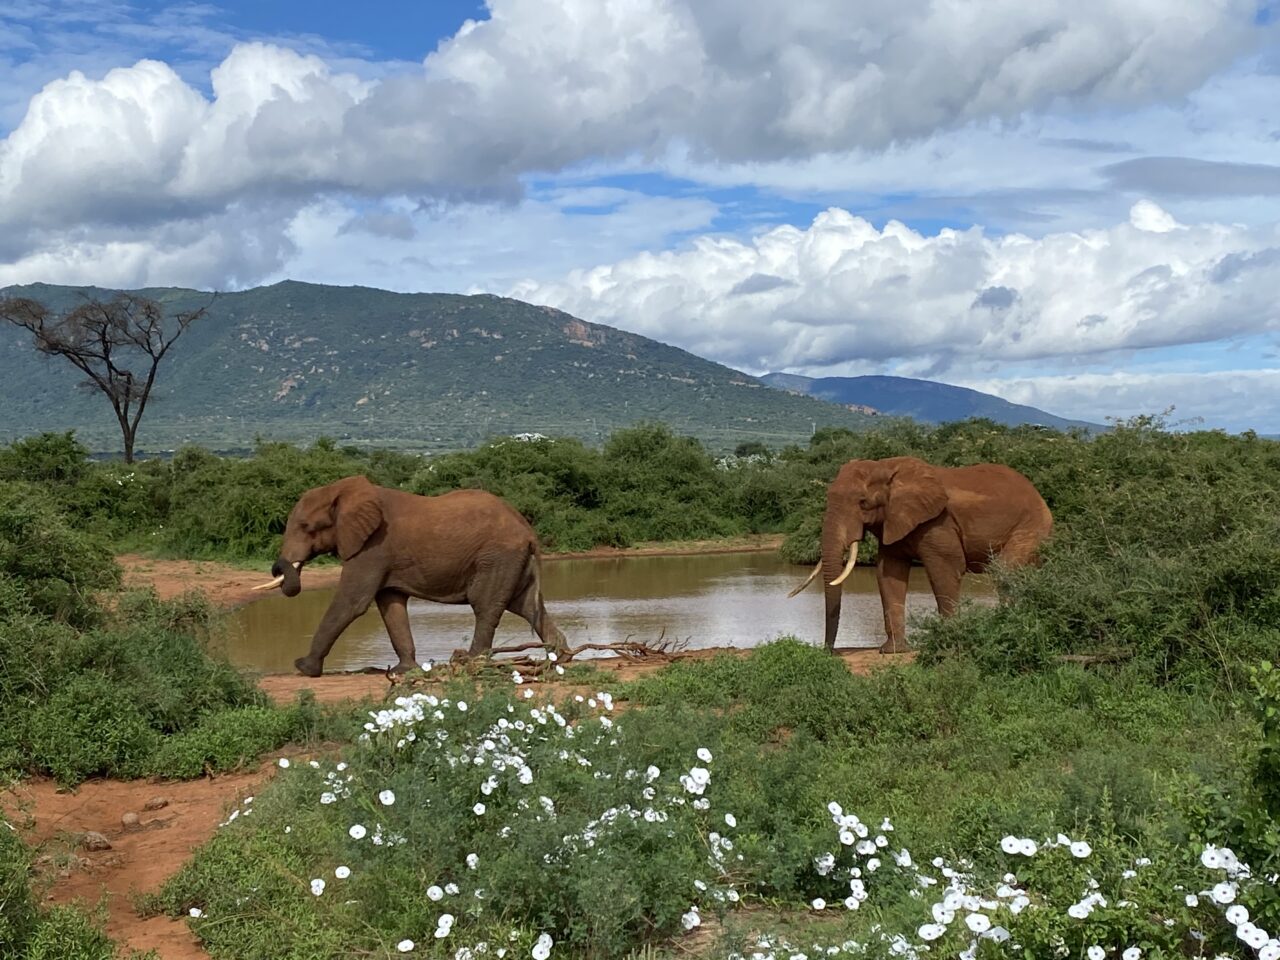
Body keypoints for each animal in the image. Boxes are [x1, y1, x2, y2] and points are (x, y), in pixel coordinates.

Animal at [254, 476, 565, 675]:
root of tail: (528, 531)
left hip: (497, 557)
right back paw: (560, 658)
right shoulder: (382, 554)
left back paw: (470, 662)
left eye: (307, 527)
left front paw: (303, 668)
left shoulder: (373, 547)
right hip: (510, 561)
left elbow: (352, 602)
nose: (280, 567)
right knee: (525, 606)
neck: (344, 491)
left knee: (486, 606)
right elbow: (390, 605)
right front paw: (404, 670)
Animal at [788, 455, 1049, 655]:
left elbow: (946, 569)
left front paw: (949, 646)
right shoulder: (893, 520)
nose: (828, 652)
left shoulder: (939, 522)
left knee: (1005, 570)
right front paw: (892, 651)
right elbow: (889, 573)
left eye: (863, 503)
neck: (885, 467)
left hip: (1031, 526)